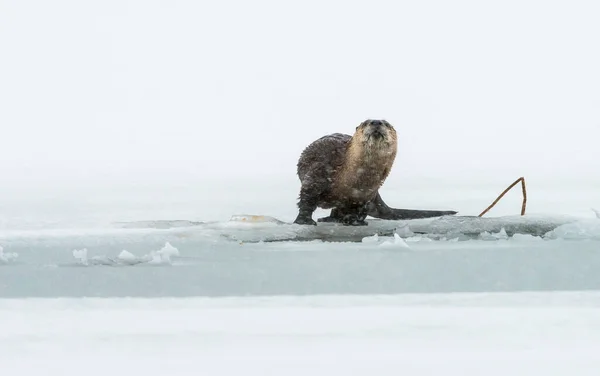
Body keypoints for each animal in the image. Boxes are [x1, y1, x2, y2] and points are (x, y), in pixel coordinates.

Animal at [292, 119, 458, 226]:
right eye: (366, 122)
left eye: (386, 123)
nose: (376, 122)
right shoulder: (318, 173)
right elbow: (307, 198)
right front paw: (304, 221)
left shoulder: (364, 193)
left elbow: (359, 209)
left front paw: (354, 221)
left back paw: (337, 219)